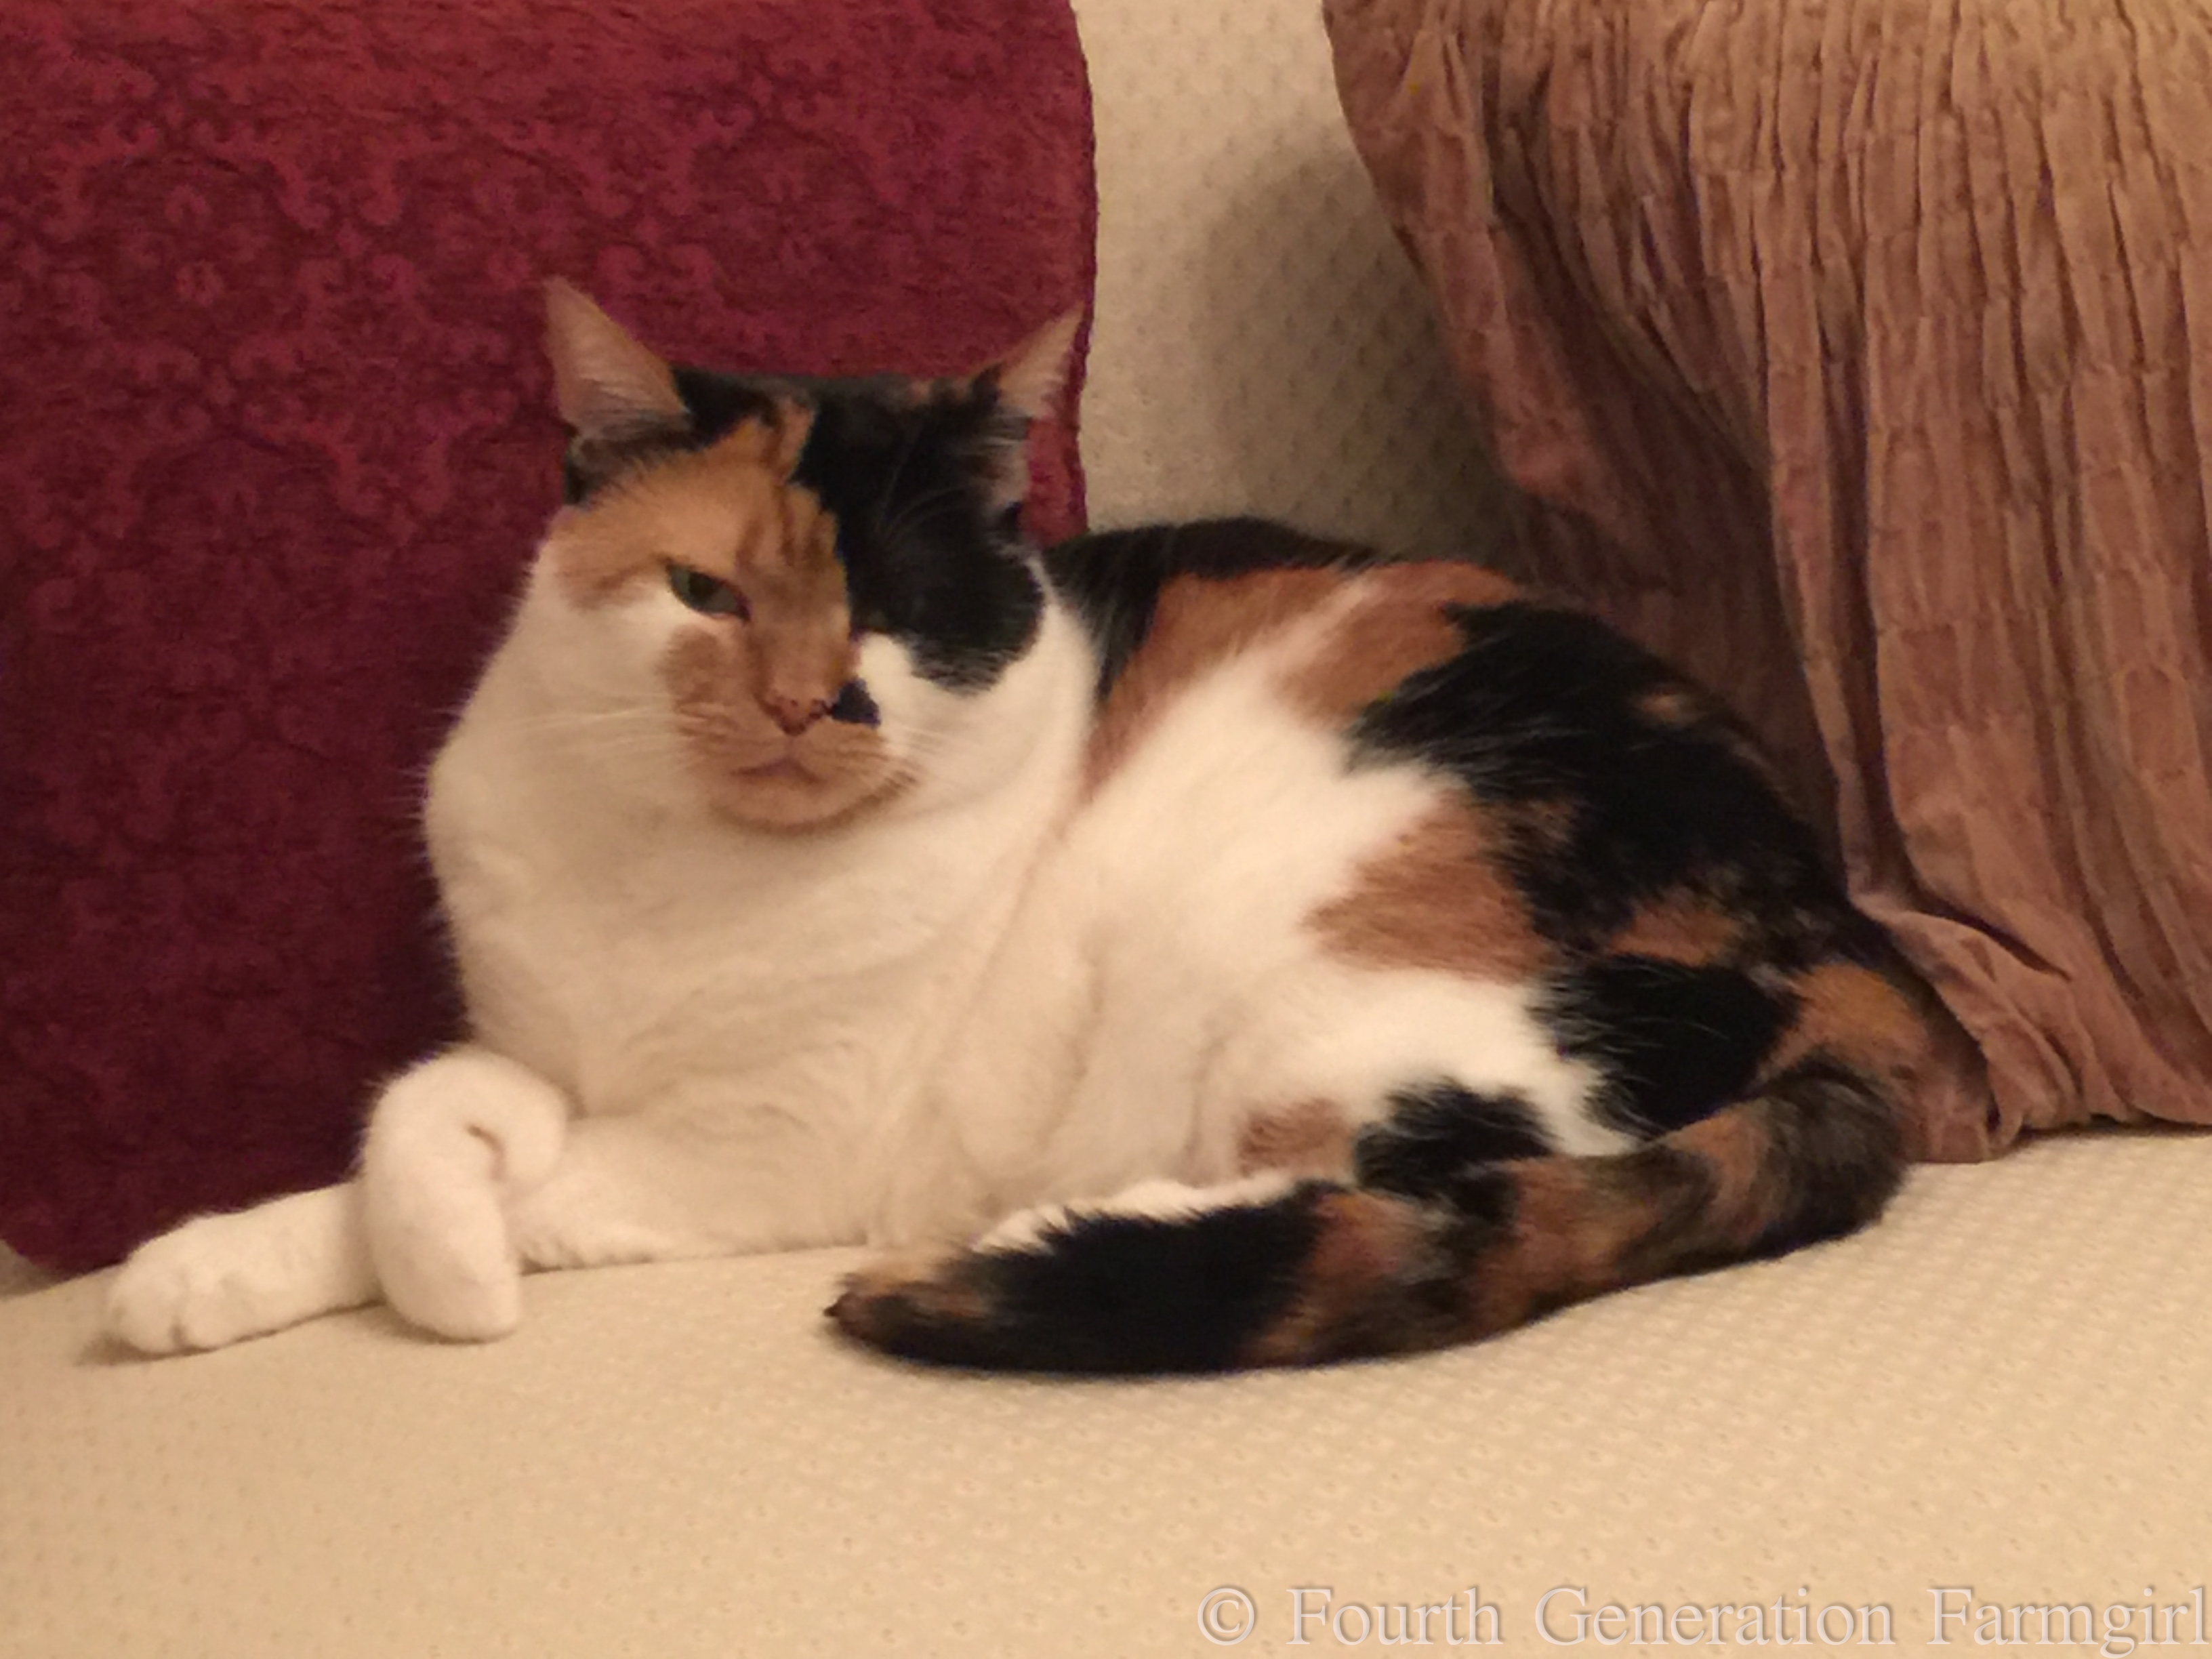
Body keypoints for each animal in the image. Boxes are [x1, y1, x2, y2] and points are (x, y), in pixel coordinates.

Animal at [104, 281, 1944, 1372]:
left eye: (898, 614)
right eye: (709, 593)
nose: (814, 704)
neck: (679, 869)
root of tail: (1858, 956)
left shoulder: (767, 1150)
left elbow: (456, 1151)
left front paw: (449, 1266)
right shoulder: (532, 1031)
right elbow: (415, 1122)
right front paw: (199, 1272)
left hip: (1339, 956)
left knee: (1461, 1162)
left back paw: (1051, 1234)